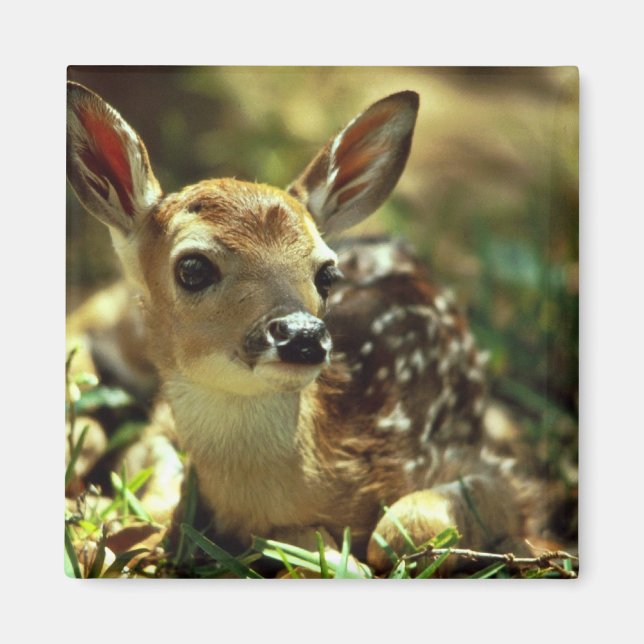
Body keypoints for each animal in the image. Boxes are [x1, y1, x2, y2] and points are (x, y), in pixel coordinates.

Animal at [66, 81, 536, 575]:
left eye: (327, 273)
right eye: (192, 268)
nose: (303, 334)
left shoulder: (494, 469)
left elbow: (396, 531)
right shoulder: (161, 435)